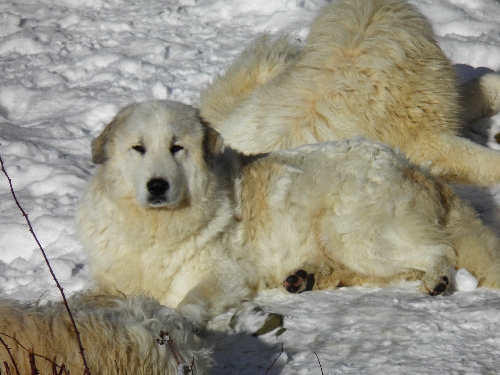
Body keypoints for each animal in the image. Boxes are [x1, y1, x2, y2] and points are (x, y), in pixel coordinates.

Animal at [76, 101, 500, 328]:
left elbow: (190, 302)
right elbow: (86, 297)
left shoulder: (222, 276)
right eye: (138, 148)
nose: (157, 185)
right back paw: (303, 278)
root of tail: (414, 168)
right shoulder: (113, 279)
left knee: (439, 251)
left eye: (177, 147)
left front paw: (176, 322)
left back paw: (438, 281)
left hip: (355, 235)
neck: (154, 227)